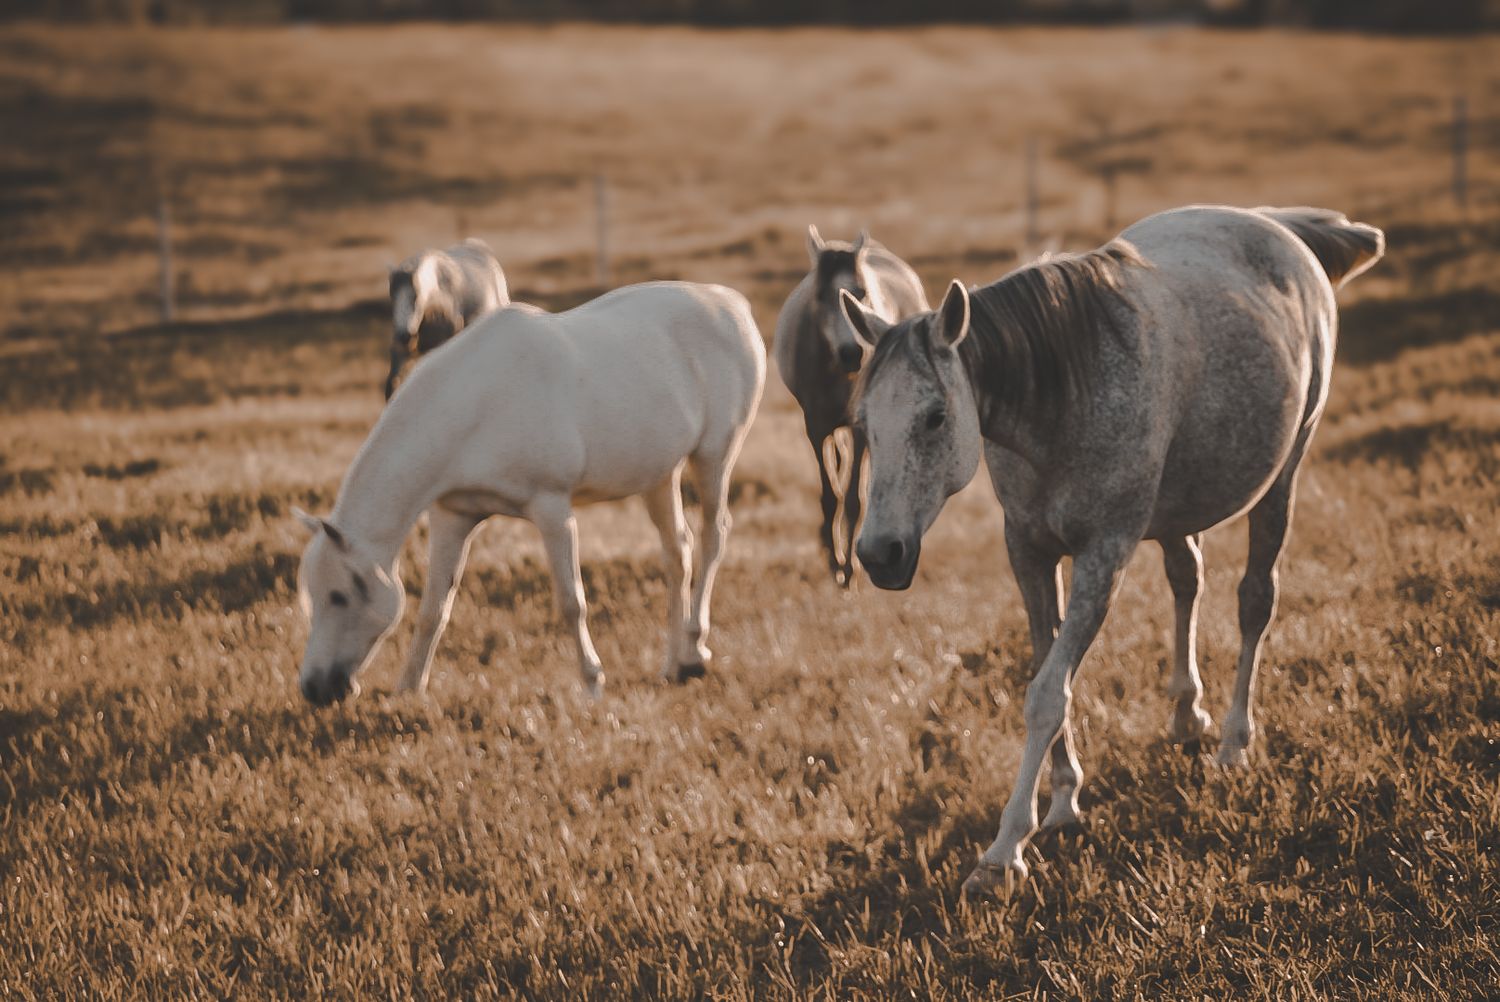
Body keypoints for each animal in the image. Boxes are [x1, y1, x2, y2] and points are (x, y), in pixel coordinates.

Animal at [294, 281, 766, 705]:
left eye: (340, 595)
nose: (314, 689)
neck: (476, 406)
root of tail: (731, 302)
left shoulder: (552, 508)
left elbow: (571, 602)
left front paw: (592, 684)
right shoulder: (452, 517)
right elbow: (433, 607)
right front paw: (410, 688)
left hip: (714, 455)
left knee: (712, 537)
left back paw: (696, 650)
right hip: (659, 474)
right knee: (677, 553)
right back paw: (675, 663)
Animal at [773, 226, 928, 586]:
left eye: (861, 292)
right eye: (820, 296)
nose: (852, 353)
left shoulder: (860, 428)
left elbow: (855, 497)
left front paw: (849, 568)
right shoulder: (815, 427)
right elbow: (832, 494)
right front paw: (834, 560)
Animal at [840, 205, 1383, 894]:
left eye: (935, 416)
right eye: (862, 422)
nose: (879, 553)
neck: (1061, 395)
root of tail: (1278, 226)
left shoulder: (1104, 555)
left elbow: (1048, 692)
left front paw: (1005, 850)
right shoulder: (1029, 552)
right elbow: (1046, 668)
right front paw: (1064, 798)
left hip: (1283, 476)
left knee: (1255, 601)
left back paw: (1234, 743)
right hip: (1179, 506)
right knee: (1187, 578)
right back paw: (1186, 713)